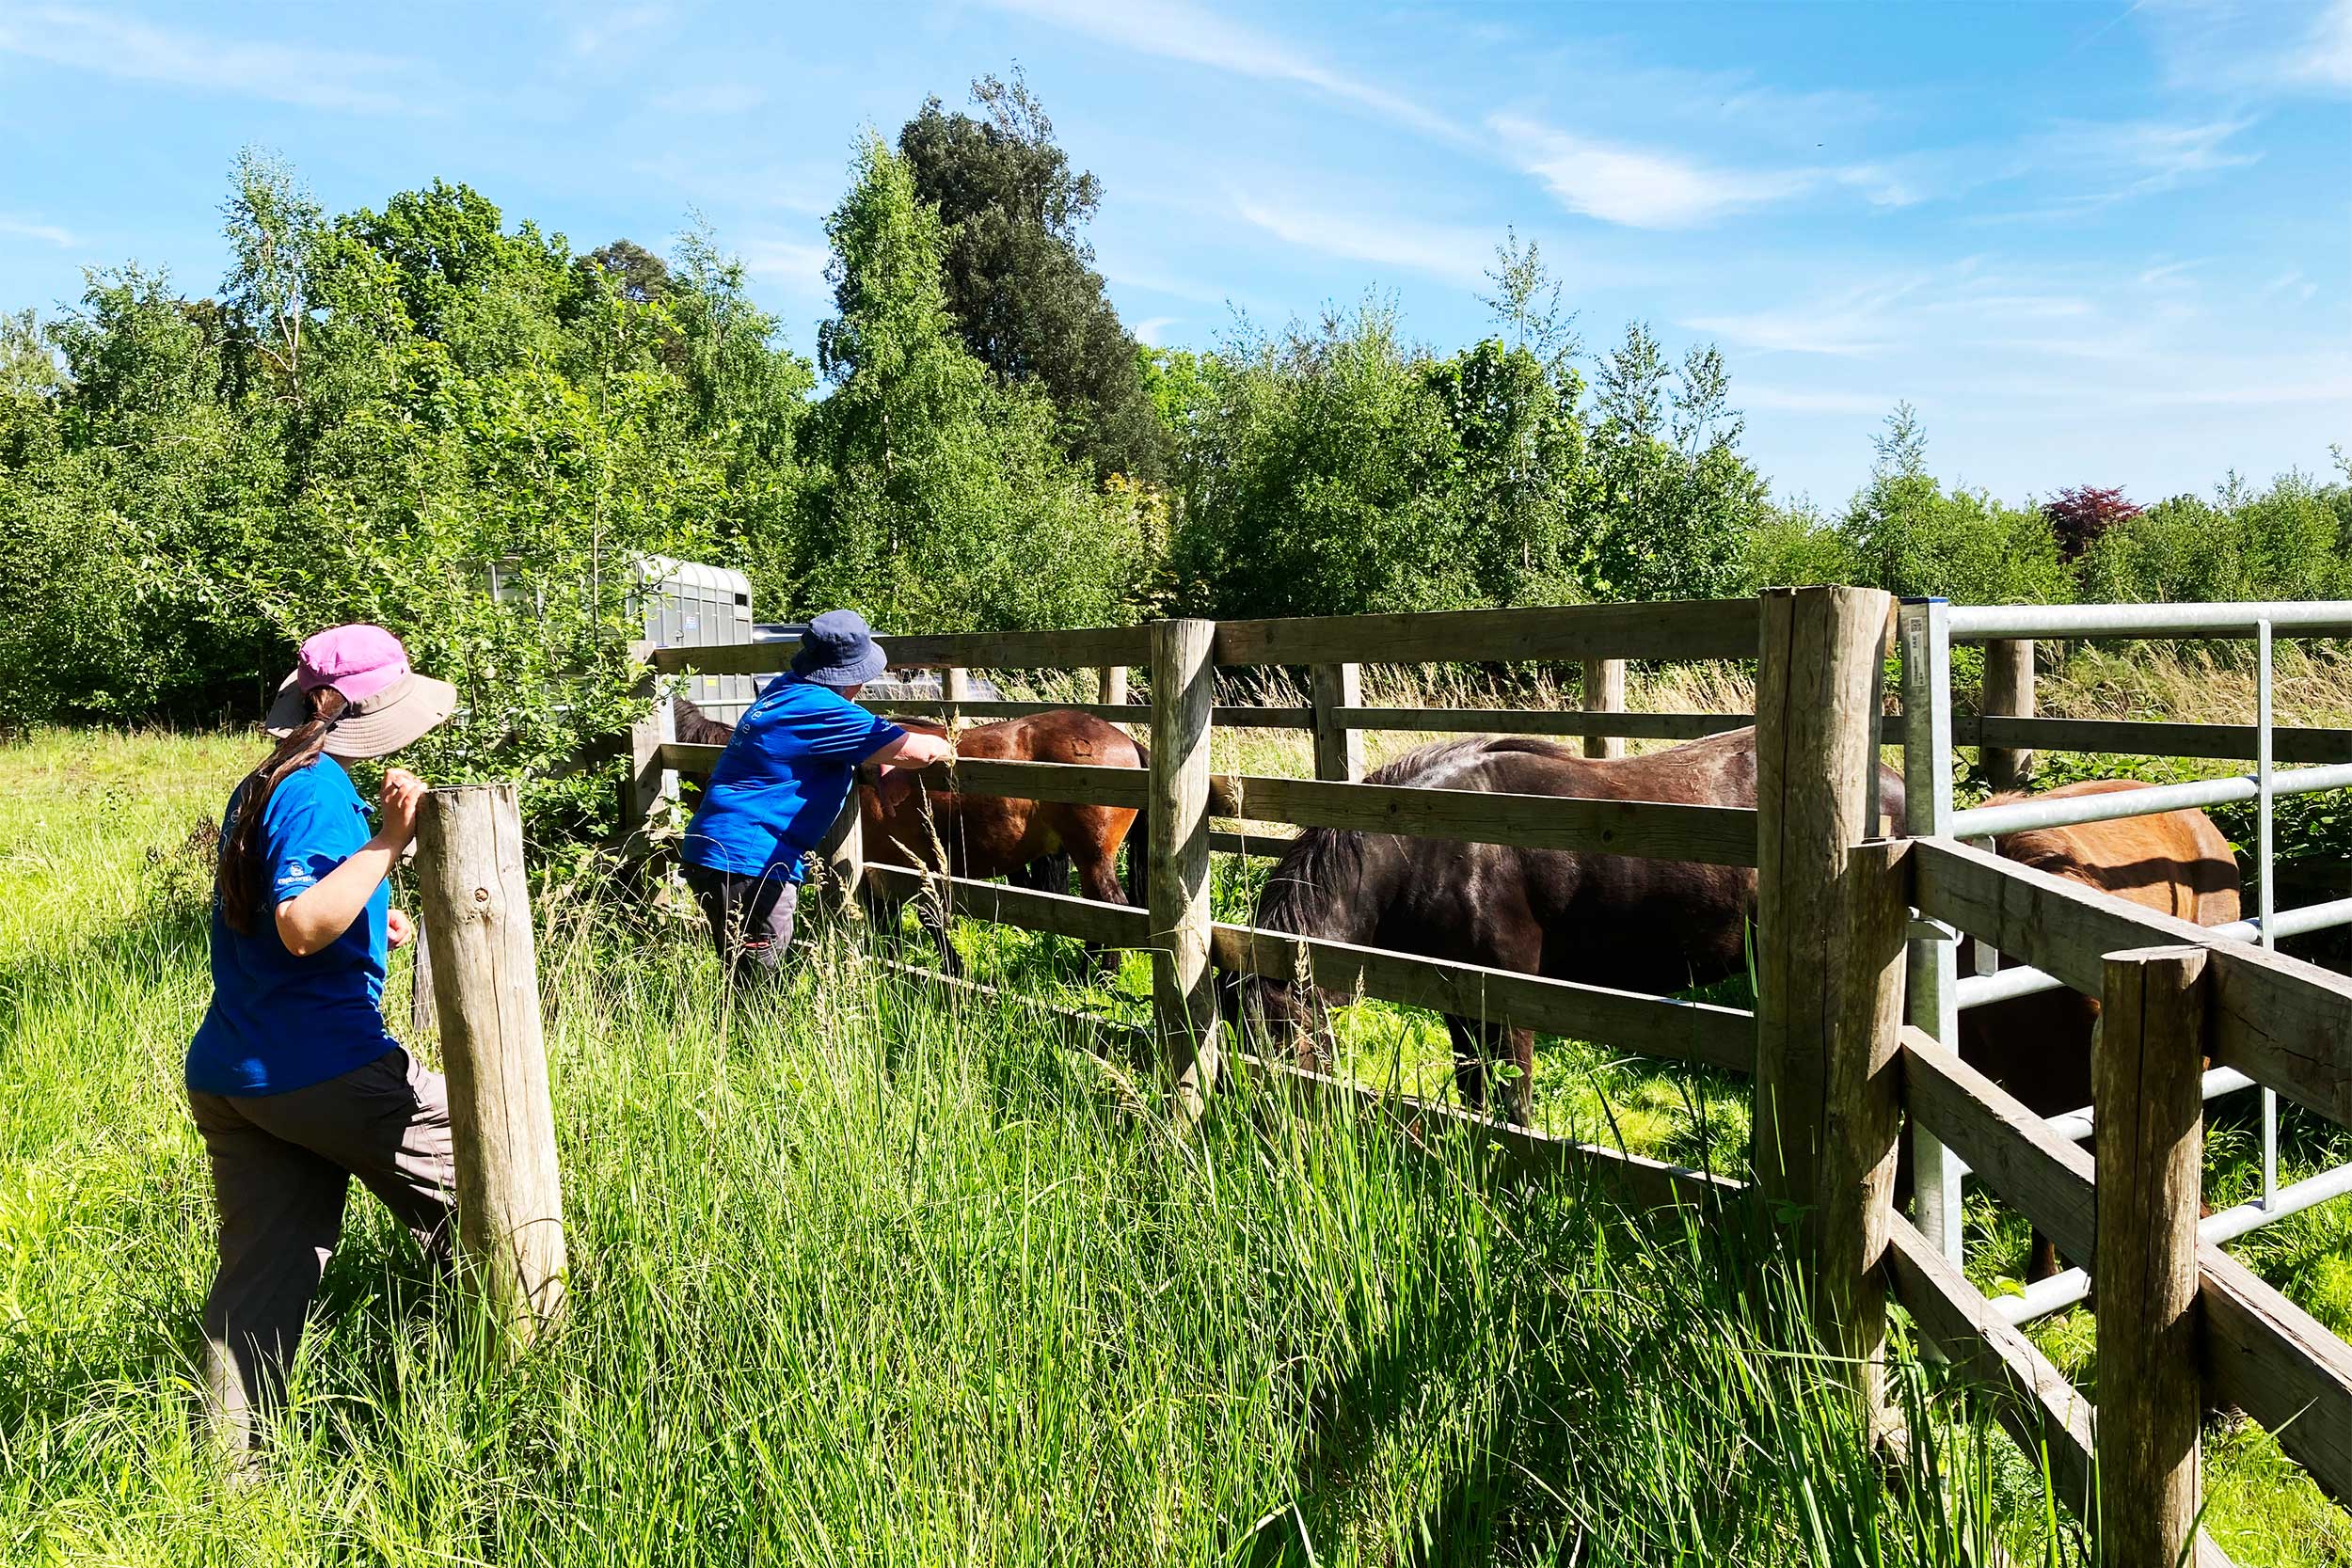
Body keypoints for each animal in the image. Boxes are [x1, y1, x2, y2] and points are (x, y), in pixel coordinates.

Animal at [866, 714, 1157, 982]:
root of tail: (1127, 742)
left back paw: (1097, 976)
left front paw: (952, 969)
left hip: (1093, 858)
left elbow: (927, 919)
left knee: (1110, 909)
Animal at [1232, 728, 1910, 1123]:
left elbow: (1513, 1100)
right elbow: (1473, 1090)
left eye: (1286, 1039)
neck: (1438, 843)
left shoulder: (1510, 996)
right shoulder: (1459, 999)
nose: (1262, 1134)